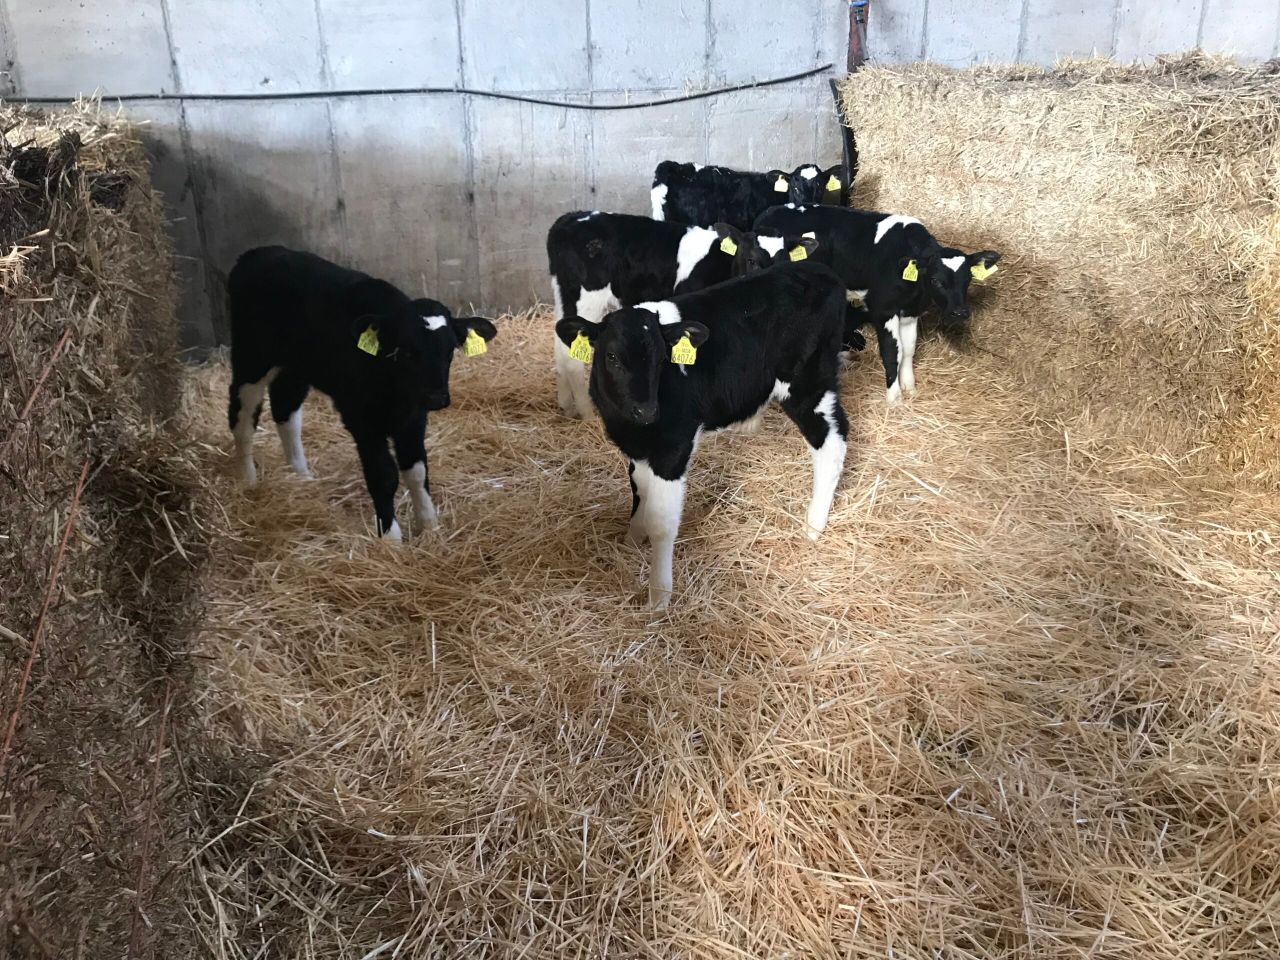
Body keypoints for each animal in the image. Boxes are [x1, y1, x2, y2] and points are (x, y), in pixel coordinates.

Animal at [226, 246, 497, 540]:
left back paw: (300, 475)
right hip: (251, 359)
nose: (436, 398)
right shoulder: (361, 417)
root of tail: (257, 253)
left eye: (449, 351)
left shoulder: (414, 416)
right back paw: (248, 481)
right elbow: (384, 475)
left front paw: (429, 525)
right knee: (243, 418)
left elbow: (416, 469)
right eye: (406, 351)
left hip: (295, 367)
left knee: (286, 411)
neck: (394, 389)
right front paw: (391, 538)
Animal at [548, 211, 818, 419]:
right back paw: (587, 413)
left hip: (566, 299)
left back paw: (567, 405)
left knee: (561, 345)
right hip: (587, 300)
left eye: (786, 260)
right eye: (751, 259)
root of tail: (570, 218)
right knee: (572, 358)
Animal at [554, 260, 850, 609]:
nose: (646, 411)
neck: (628, 425)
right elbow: (639, 491)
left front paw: (659, 596)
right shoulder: (638, 448)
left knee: (831, 443)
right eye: (611, 356)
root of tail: (816, 269)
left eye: (662, 359)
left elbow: (662, 523)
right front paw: (632, 539)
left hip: (808, 385)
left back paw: (813, 524)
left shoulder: (673, 447)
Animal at [754, 204, 1000, 403]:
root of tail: (771, 210)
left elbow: (909, 350)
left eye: (968, 279)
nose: (959, 313)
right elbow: (893, 352)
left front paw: (910, 387)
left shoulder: (910, 312)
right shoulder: (884, 309)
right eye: (936, 280)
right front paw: (894, 398)